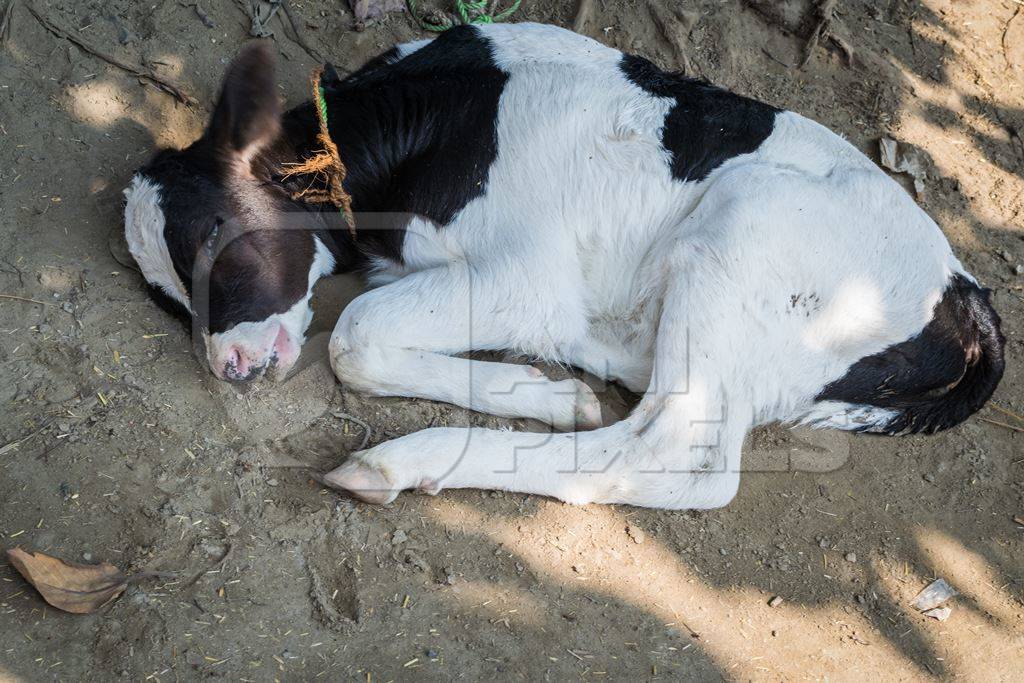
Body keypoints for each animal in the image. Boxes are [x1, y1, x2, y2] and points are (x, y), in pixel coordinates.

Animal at [123, 24, 1003, 509]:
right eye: (167, 300)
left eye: (214, 244)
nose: (230, 367)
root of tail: (965, 294)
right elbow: (370, 342)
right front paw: (547, 393)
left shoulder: (523, 274)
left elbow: (353, 336)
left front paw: (545, 396)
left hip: (745, 226)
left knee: (674, 453)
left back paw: (401, 461)